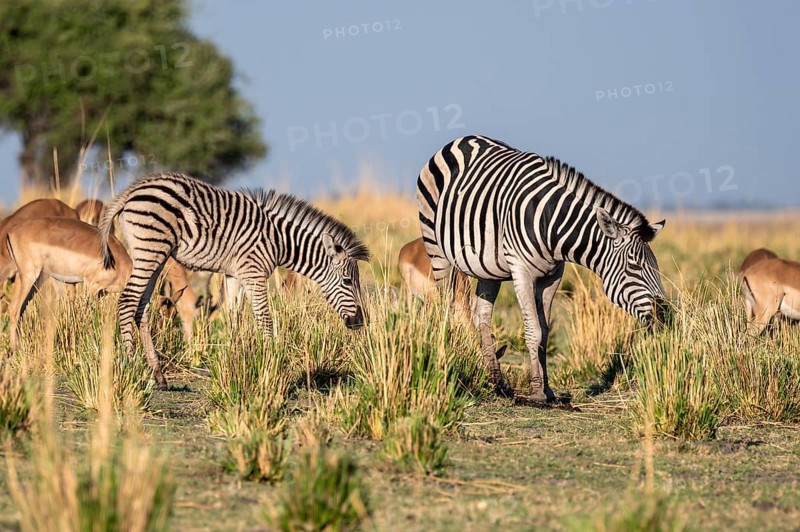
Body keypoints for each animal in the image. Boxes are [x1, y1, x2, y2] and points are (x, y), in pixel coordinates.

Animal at [99, 172, 369, 389]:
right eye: (347, 281)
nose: (360, 322)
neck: (279, 241)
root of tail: (134, 189)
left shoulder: (234, 275)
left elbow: (233, 319)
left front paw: (236, 365)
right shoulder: (255, 274)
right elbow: (264, 321)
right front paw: (271, 368)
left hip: (154, 254)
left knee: (141, 306)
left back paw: (159, 376)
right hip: (151, 249)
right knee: (127, 300)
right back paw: (130, 366)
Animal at [417, 135, 667, 403]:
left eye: (656, 267)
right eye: (634, 266)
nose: (665, 316)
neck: (553, 226)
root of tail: (460, 139)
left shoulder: (553, 276)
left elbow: (545, 333)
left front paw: (547, 389)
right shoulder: (521, 271)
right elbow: (533, 330)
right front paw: (537, 392)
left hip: (488, 269)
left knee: (481, 316)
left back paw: (498, 383)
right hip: (437, 250)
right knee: (448, 308)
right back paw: (446, 362)